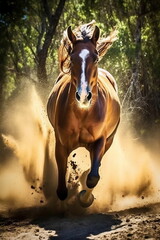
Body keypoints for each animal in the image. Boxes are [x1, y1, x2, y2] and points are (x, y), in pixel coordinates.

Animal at [47, 21, 120, 207]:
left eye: (96, 58)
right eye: (72, 58)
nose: (83, 96)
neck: (83, 114)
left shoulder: (100, 141)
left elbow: (93, 177)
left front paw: (85, 198)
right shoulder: (61, 144)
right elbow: (61, 189)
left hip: (109, 141)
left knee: (96, 168)